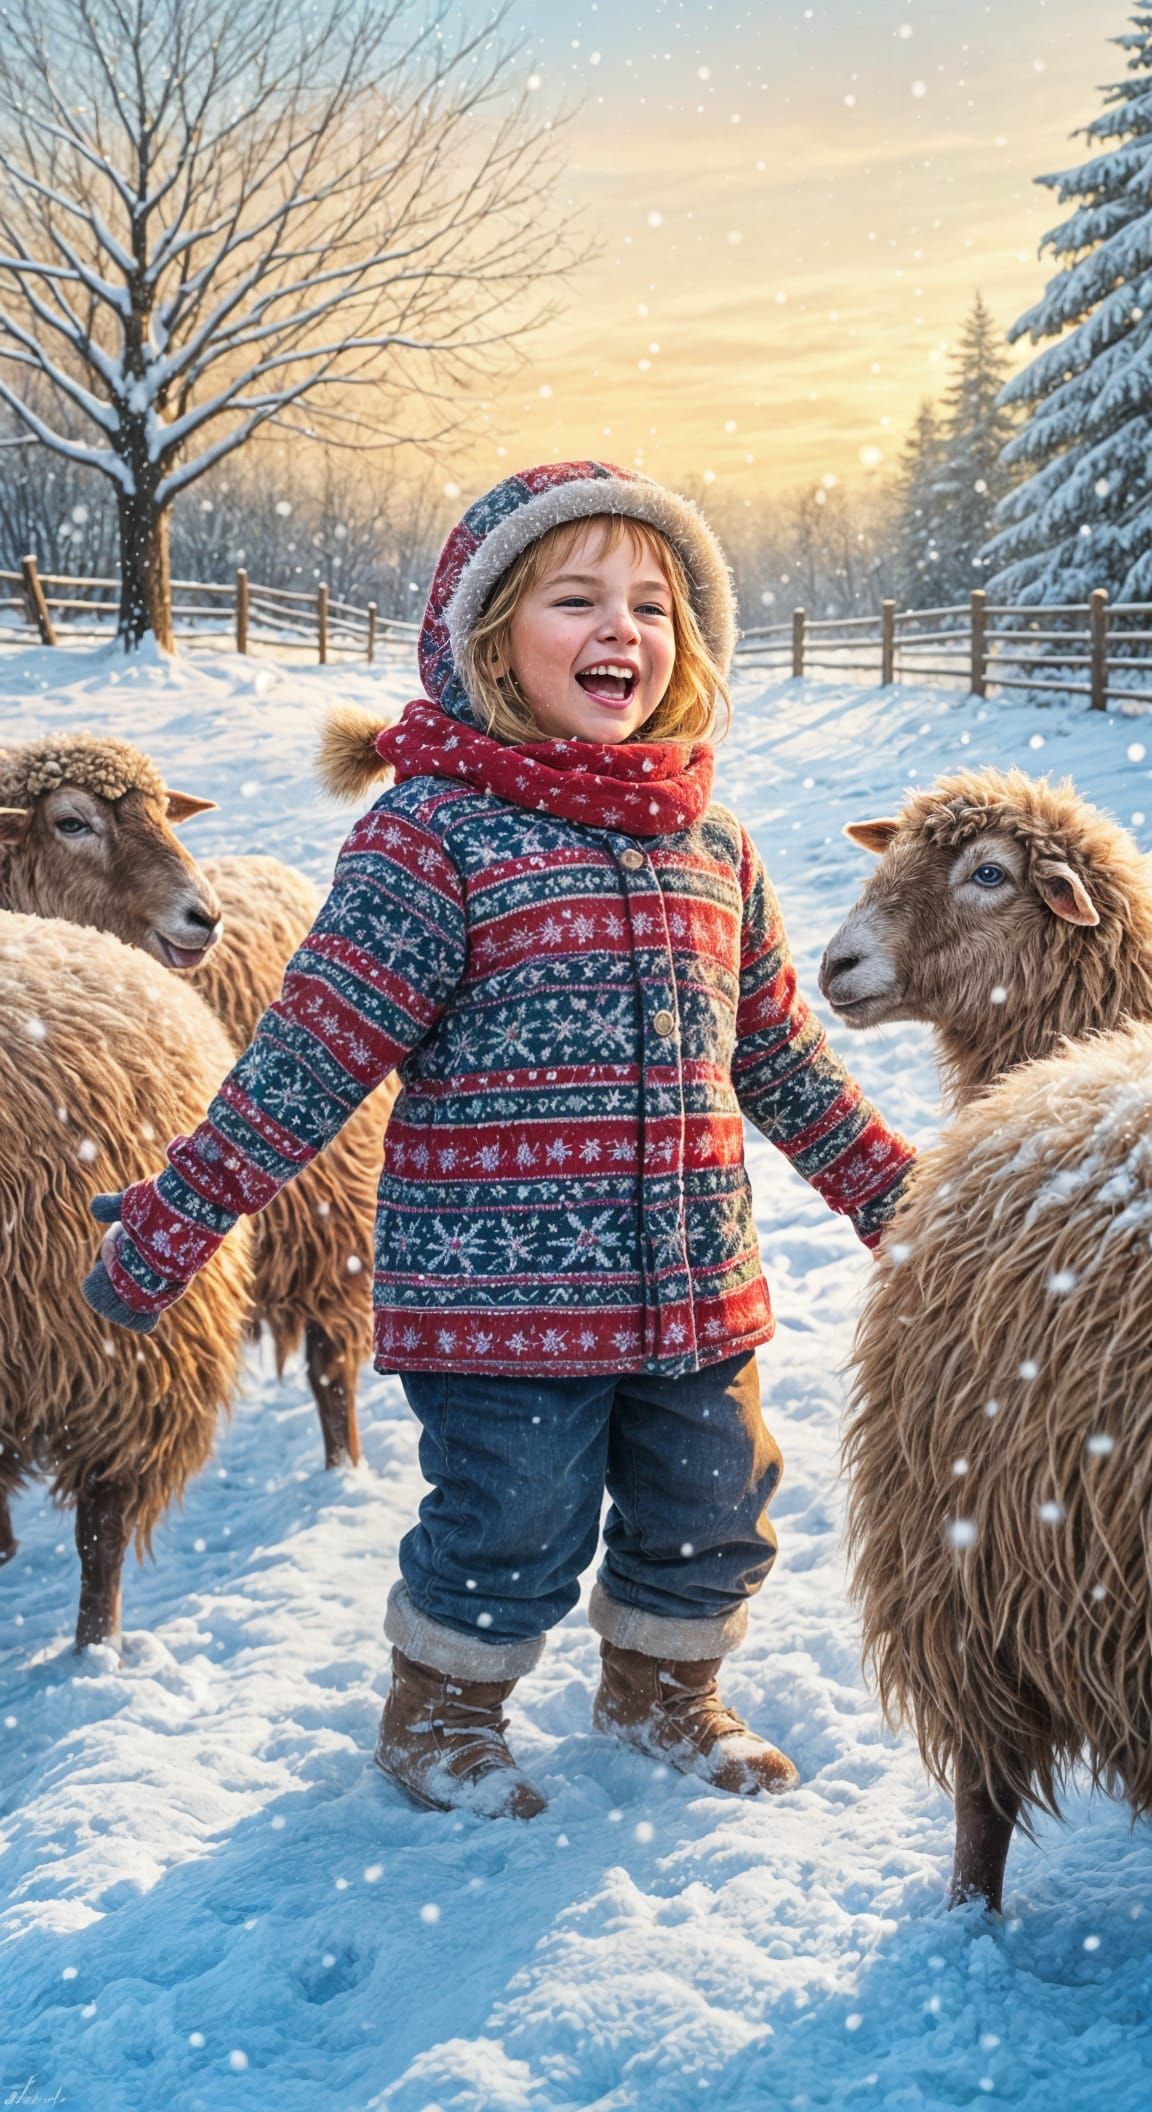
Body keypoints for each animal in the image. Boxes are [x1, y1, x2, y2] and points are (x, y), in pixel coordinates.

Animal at [0, 733, 395, 1468]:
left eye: (162, 811)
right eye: (71, 822)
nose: (205, 915)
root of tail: (275, 870)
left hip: (328, 1212)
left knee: (331, 1363)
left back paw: (344, 1470)